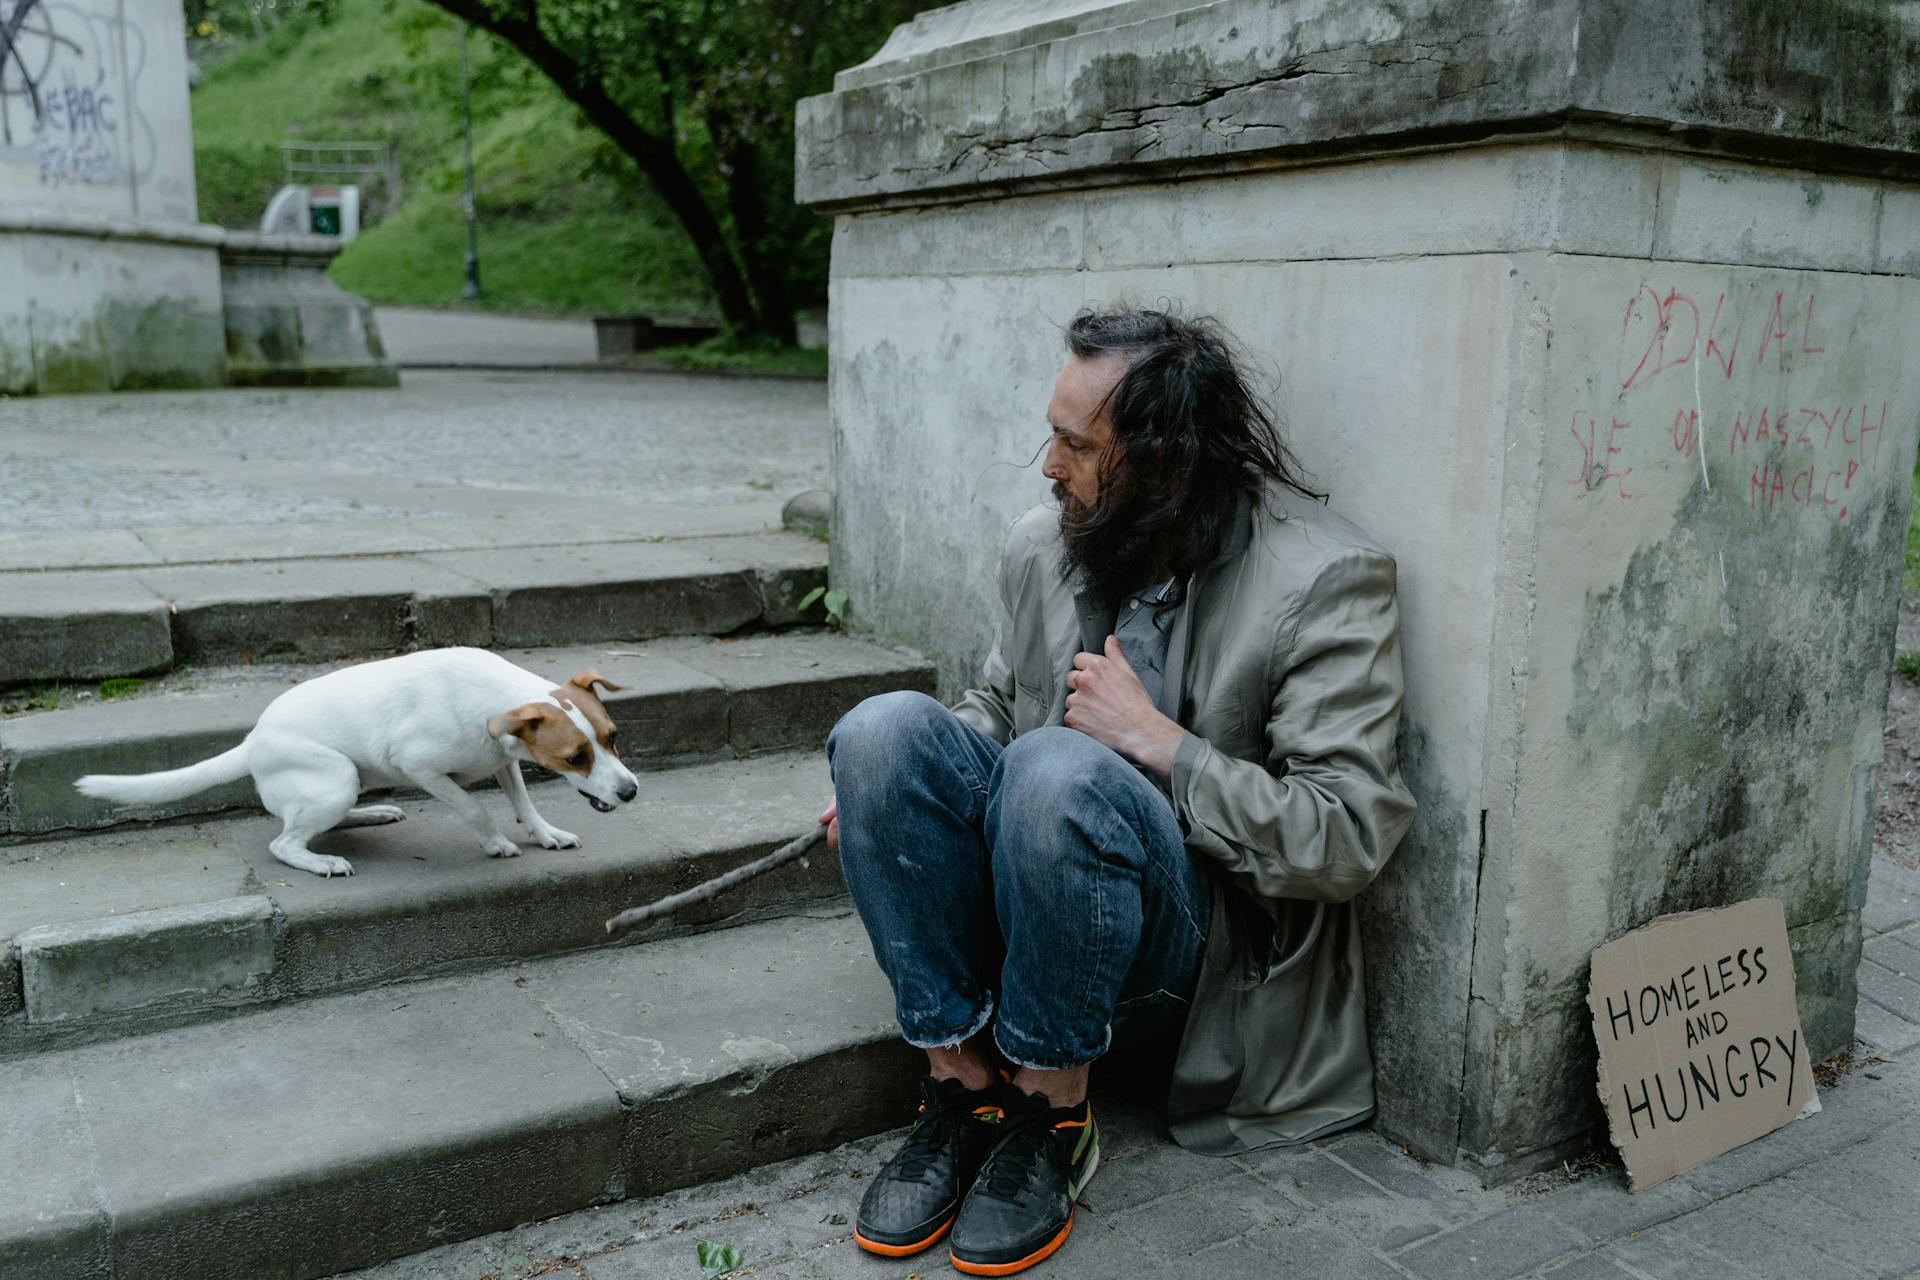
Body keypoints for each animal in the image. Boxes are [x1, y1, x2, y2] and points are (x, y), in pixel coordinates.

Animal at [74, 652, 637, 882]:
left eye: (612, 737)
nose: (631, 792)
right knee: (285, 843)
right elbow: (475, 809)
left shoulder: (504, 761)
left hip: (349, 783)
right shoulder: (420, 766)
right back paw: (320, 861)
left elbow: (524, 802)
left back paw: (373, 815)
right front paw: (495, 843)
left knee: (316, 822)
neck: (495, 700)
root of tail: (252, 741)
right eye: (575, 758)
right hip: (338, 776)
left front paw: (545, 834)